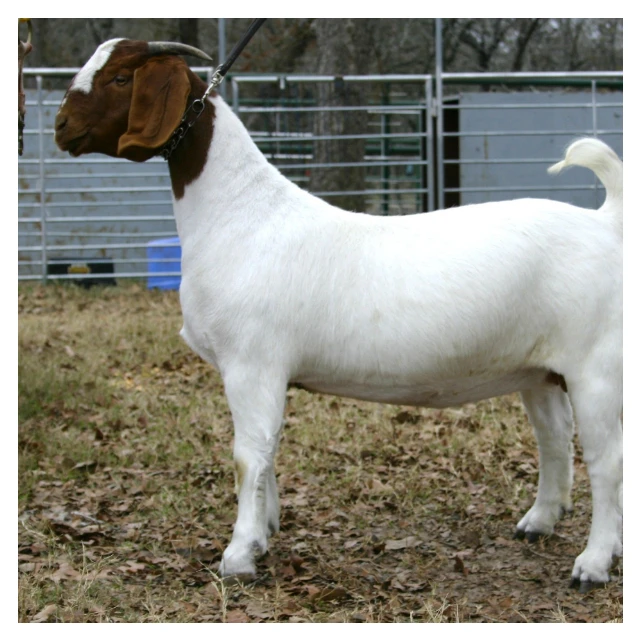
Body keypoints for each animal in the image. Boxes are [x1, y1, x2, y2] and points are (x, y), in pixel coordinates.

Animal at [55, 39, 623, 592]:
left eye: (121, 77)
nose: (61, 127)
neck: (240, 215)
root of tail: (606, 222)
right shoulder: (264, 374)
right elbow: (267, 453)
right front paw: (264, 533)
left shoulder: (251, 364)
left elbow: (247, 456)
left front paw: (238, 556)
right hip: (539, 370)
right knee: (554, 439)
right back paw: (539, 522)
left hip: (596, 366)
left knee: (606, 460)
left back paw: (593, 564)